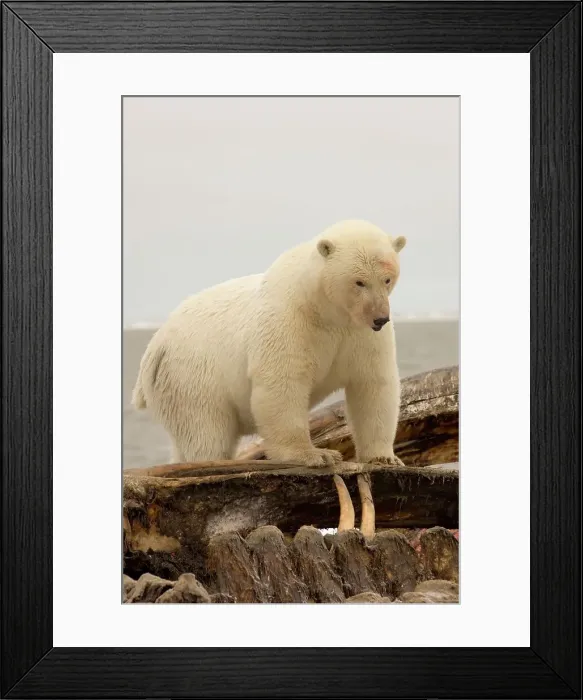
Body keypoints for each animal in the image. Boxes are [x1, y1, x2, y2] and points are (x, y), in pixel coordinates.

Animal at [132, 219, 406, 467]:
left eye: (387, 279)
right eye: (359, 281)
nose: (380, 318)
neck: (323, 309)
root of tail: (154, 346)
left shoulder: (360, 335)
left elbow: (373, 385)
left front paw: (384, 457)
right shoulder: (289, 321)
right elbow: (282, 383)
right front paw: (315, 455)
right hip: (192, 376)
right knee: (206, 430)